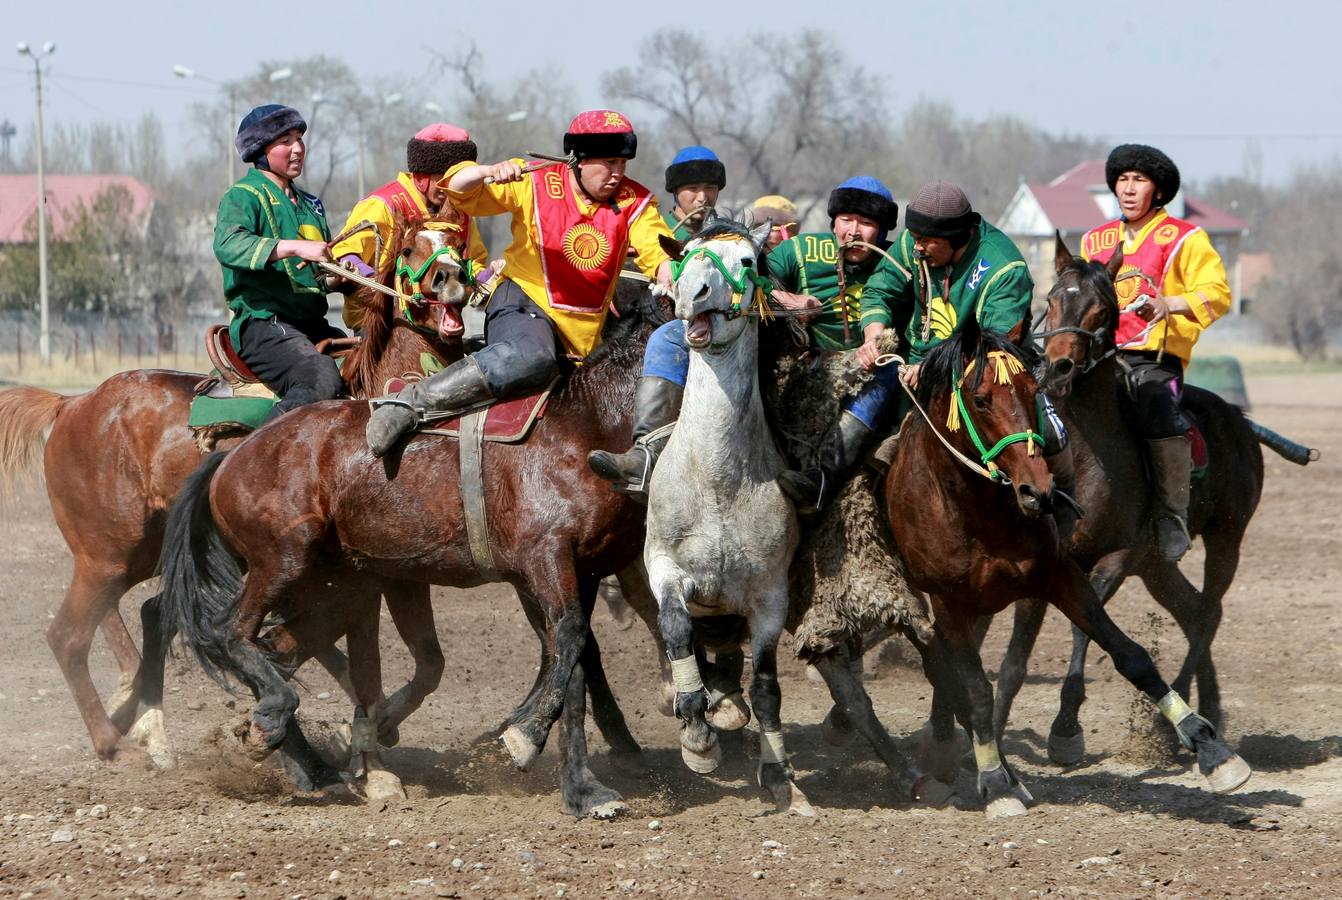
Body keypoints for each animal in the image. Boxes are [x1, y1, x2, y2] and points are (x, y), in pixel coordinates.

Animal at [0, 219, 472, 771]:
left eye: (455, 243)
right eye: (411, 249)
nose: (451, 278)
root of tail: (71, 404)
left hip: (145, 553)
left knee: (147, 615)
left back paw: (148, 728)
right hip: (106, 555)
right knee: (70, 635)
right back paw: (114, 739)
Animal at [144, 282, 669, 817]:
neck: (584, 430)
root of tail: (231, 459)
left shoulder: (577, 573)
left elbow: (574, 658)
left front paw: (581, 786)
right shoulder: (546, 562)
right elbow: (571, 643)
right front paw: (527, 740)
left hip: (332, 585)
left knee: (277, 648)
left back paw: (305, 759)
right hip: (283, 561)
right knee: (231, 632)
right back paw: (277, 727)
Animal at [884, 313, 1252, 818]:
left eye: (1030, 391)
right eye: (981, 400)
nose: (1038, 490)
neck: (976, 512)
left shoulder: (1060, 575)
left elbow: (1130, 655)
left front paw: (1209, 748)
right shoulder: (949, 603)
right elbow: (976, 690)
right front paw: (995, 782)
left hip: (1217, 540)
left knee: (1204, 609)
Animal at [988, 236, 1315, 764]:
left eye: (1102, 309)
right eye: (1052, 300)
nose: (1057, 367)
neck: (1083, 459)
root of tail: (1239, 419)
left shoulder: (1116, 558)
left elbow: (1086, 627)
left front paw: (1066, 726)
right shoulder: (1053, 559)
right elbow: (1016, 659)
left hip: (1226, 537)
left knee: (1209, 612)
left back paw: (1173, 725)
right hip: (1157, 566)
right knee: (1193, 610)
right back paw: (1210, 709)